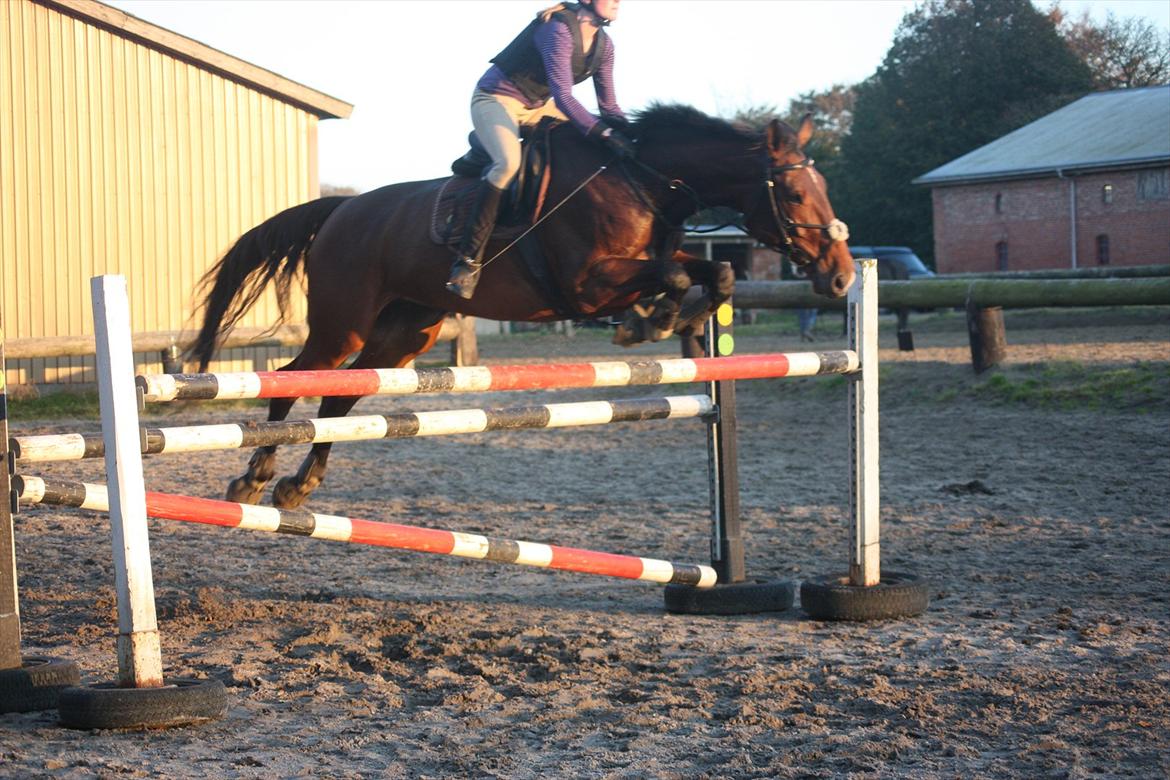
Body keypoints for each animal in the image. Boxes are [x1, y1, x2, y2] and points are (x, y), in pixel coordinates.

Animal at [189, 103, 851, 509]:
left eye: (824, 187)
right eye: (796, 194)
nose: (842, 276)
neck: (642, 181)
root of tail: (341, 209)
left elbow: (717, 272)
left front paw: (669, 316)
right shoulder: (588, 283)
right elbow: (673, 272)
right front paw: (652, 320)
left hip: (404, 334)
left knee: (339, 398)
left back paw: (298, 486)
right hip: (343, 324)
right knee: (292, 379)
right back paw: (253, 477)